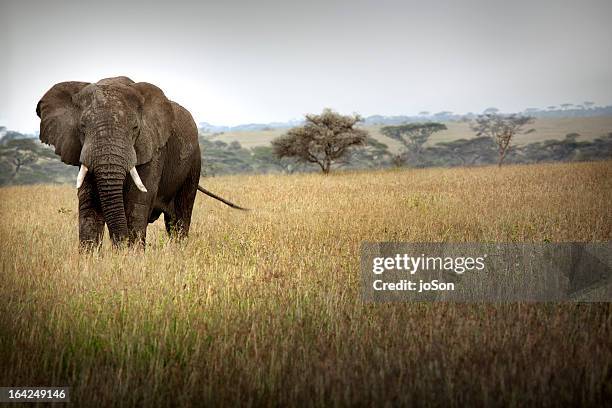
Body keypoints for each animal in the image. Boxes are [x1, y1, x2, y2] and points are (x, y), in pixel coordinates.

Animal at [37, 76, 244, 249]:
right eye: (82, 127)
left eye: (135, 128)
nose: (119, 247)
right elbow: (89, 204)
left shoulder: (154, 149)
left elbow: (137, 201)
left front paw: (131, 257)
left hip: (193, 163)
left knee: (179, 219)